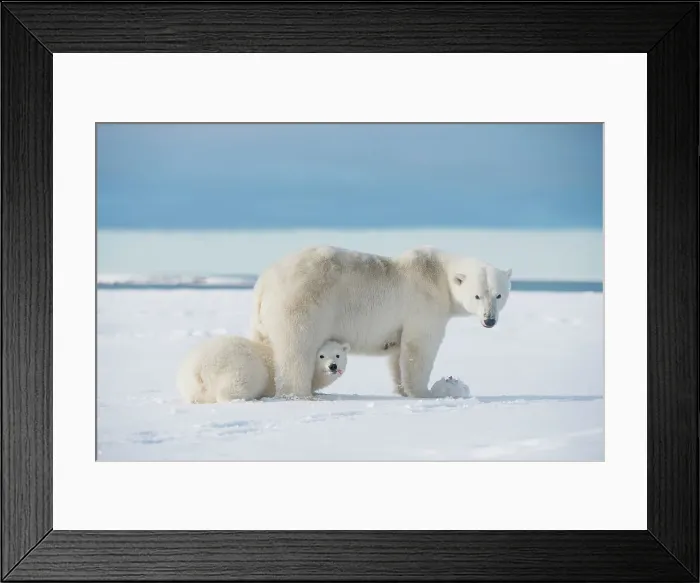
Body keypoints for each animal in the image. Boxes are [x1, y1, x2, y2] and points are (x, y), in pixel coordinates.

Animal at [177, 336, 350, 404]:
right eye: (321, 356)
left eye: (338, 355)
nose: (333, 366)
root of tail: (199, 367)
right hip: (241, 367)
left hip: (189, 384)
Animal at [249, 245, 512, 399]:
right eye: (477, 296)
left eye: (498, 295)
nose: (489, 320)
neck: (439, 275)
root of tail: (265, 281)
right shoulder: (424, 305)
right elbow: (419, 348)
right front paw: (425, 393)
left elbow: (397, 356)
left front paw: (401, 390)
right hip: (304, 303)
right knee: (297, 348)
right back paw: (300, 394)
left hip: (262, 318)